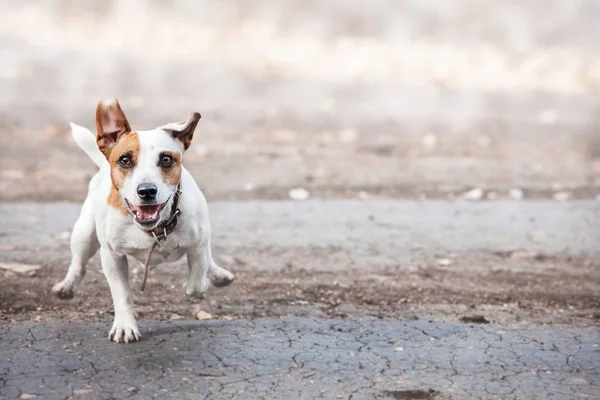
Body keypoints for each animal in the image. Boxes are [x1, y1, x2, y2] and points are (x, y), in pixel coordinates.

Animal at [52, 100, 234, 344]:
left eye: (166, 159)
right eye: (125, 160)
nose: (147, 191)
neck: (156, 228)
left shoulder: (198, 245)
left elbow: (196, 281)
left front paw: (202, 282)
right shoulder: (112, 256)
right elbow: (121, 294)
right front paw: (125, 326)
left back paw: (217, 274)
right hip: (84, 234)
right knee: (78, 264)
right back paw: (67, 285)